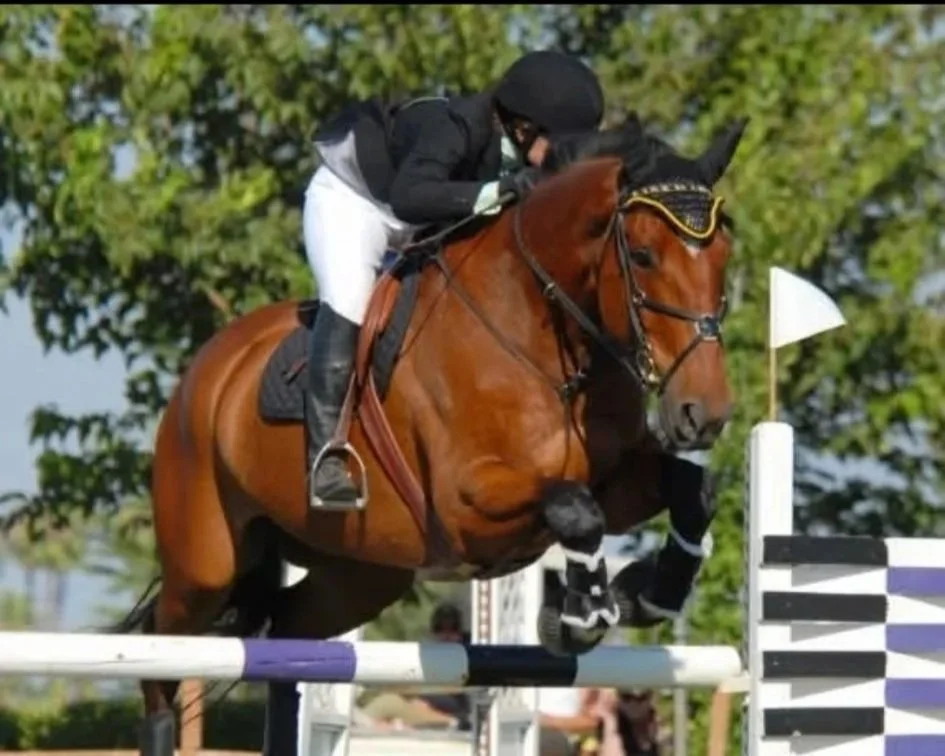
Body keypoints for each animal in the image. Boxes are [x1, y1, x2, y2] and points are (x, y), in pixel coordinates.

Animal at [119, 113, 746, 756]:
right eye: (643, 255)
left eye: (724, 254)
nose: (704, 412)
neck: (547, 341)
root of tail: (208, 371)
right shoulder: (466, 504)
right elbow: (575, 508)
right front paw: (583, 615)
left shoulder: (614, 479)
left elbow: (690, 492)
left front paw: (650, 591)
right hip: (206, 564)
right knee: (157, 654)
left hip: (361, 573)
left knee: (286, 634)